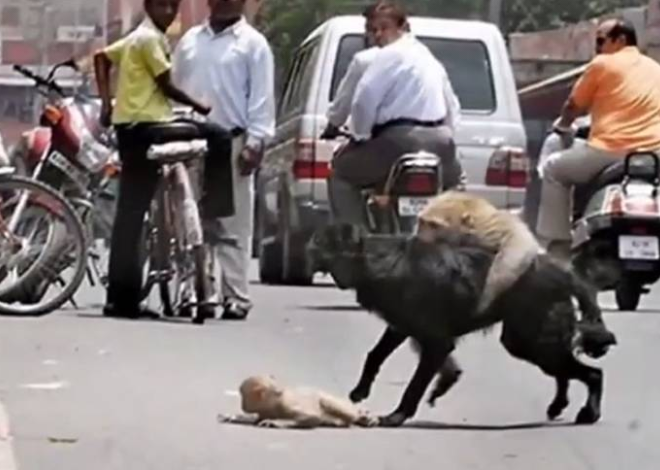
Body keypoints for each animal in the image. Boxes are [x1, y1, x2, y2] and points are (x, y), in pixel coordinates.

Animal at [220, 374, 378, 430]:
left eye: (243, 395)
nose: (243, 405)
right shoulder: (264, 410)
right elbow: (255, 418)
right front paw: (233, 416)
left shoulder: (286, 406)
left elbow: (313, 417)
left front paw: (276, 422)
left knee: (341, 410)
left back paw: (364, 417)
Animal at [306, 226, 616, 428]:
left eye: (318, 243)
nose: (303, 250)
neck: (378, 260)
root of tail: (562, 274)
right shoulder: (401, 327)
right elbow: (375, 355)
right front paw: (361, 390)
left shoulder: (436, 342)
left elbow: (415, 385)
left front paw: (396, 416)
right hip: (527, 343)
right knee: (567, 372)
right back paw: (558, 405)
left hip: (533, 343)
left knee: (594, 374)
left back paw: (589, 413)